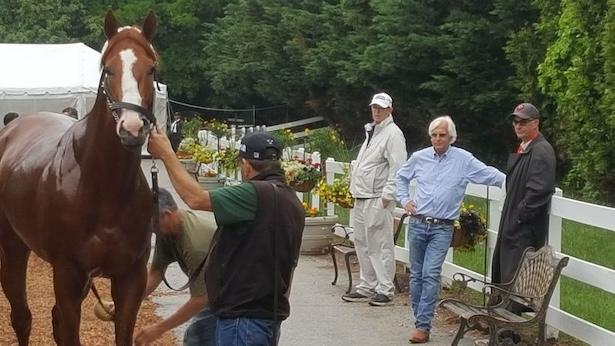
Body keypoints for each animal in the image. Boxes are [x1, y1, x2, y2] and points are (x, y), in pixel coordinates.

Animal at [0, 10, 159, 346]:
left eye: (151, 69)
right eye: (108, 69)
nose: (132, 128)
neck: (103, 187)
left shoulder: (131, 277)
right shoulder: (67, 274)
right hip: (13, 249)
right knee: (22, 317)